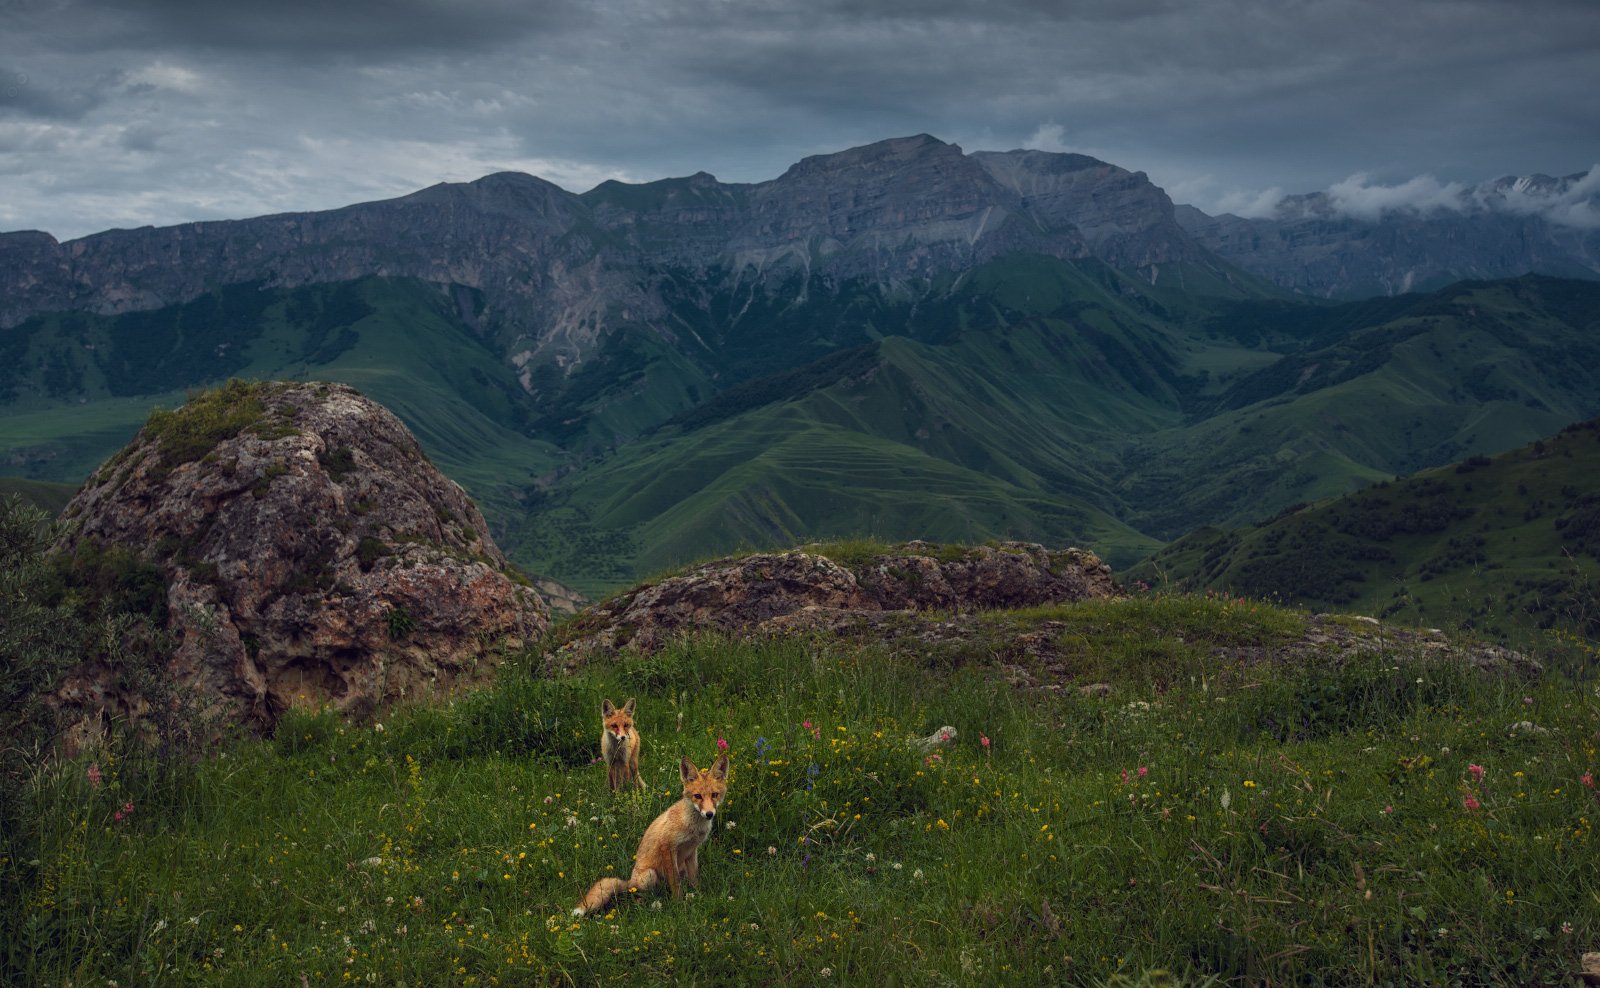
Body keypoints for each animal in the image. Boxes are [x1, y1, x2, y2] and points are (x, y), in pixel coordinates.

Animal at [572, 751, 729, 914]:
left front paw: (696, 897)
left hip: (679, 868)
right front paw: (678, 905)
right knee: (638, 894)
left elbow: (694, 879)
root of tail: (631, 881)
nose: (709, 814)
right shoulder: (667, 847)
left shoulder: (691, 851)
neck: (692, 826)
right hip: (649, 875)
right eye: (697, 796)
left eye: (714, 795)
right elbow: (675, 882)